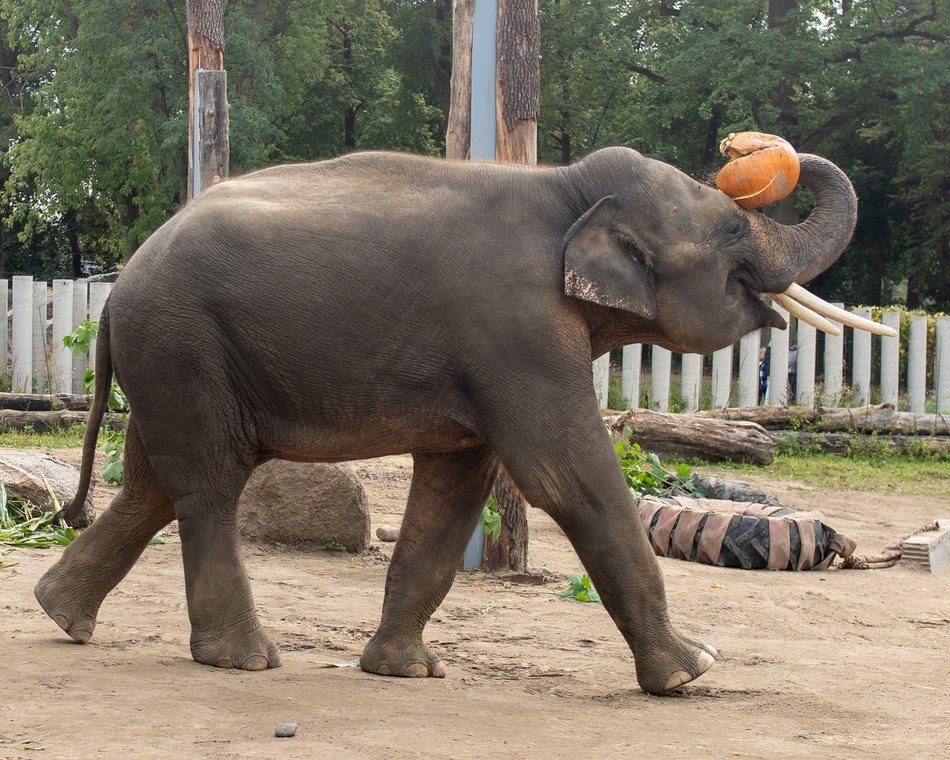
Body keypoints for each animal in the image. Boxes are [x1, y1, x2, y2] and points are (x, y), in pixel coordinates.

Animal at [35, 144, 872, 696]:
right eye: (732, 232)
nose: (744, 149)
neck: (567, 191)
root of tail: (114, 289)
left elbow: (456, 486)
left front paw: (407, 672)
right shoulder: (518, 332)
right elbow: (568, 477)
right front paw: (692, 670)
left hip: (173, 360)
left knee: (154, 484)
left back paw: (63, 616)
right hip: (184, 345)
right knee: (209, 484)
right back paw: (243, 660)